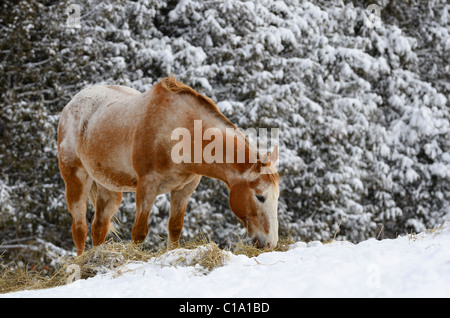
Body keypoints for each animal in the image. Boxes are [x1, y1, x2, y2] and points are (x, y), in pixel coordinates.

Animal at [58, 74, 280, 253]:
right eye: (260, 196)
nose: (270, 243)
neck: (182, 132)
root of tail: (71, 105)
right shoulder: (147, 186)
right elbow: (139, 232)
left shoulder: (184, 188)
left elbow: (175, 228)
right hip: (77, 179)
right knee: (79, 228)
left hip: (109, 188)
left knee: (99, 227)